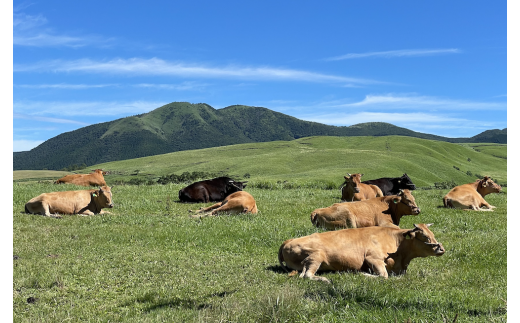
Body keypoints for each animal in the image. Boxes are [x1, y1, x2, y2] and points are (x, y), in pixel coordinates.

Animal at [278, 223, 444, 284]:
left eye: (432, 234)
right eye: (424, 237)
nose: (441, 249)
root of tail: (288, 241)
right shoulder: (373, 258)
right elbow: (384, 276)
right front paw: (363, 274)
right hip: (316, 256)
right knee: (307, 275)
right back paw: (325, 279)